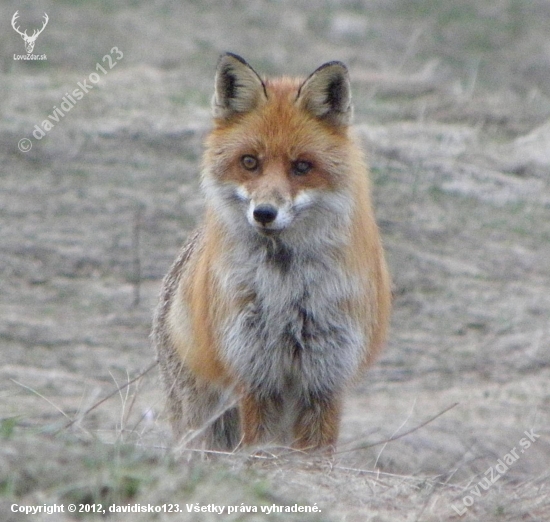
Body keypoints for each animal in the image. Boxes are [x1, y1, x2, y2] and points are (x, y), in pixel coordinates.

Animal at [153, 53, 390, 450]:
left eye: (302, 167)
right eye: (250, 162)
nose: (264, 213)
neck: (287, 287)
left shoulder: (325, 380)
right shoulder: (256, 376)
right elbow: (259, 450)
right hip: (203, 423)